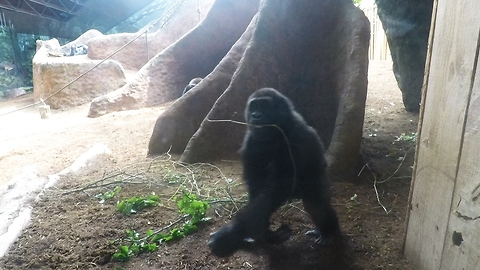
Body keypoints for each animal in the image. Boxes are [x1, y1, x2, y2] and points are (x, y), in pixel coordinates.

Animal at [208, 87, 340, 258]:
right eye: (254, 106)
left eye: (264, 105)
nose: (256, 115)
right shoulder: (251, 141)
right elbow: (257, 189)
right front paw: (263, 234)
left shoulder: (296, 135)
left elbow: (280, 186)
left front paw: (230, 234)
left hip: (318, 177)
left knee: (317, 205)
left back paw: (329, 232)